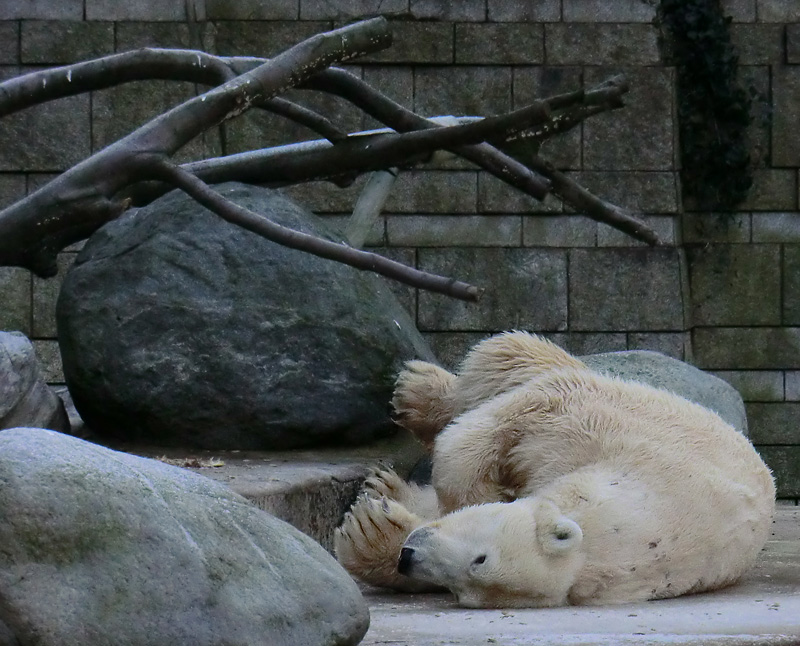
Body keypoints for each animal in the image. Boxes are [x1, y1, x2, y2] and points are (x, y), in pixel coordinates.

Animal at [332, 332, 776, 612]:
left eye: (466, 587)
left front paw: (370, 532)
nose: (409, 556)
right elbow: (494, 428)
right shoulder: (607, 429)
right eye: (481, 557)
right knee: (510, 356)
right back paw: (419, 392)